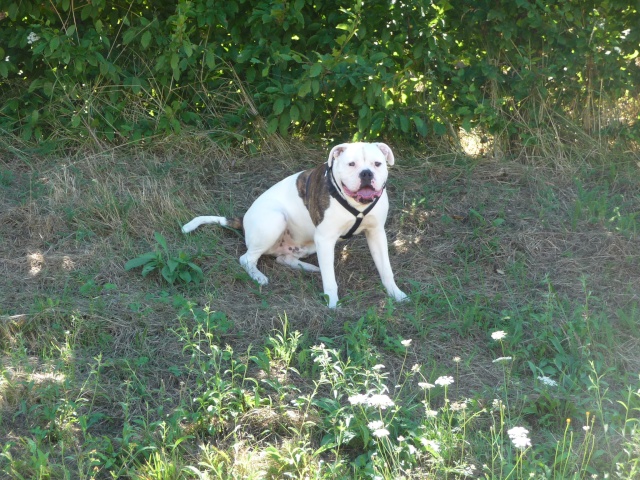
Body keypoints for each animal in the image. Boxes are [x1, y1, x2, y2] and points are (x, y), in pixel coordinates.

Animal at [182, 142, 408, 308]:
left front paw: (396, 294)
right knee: (246, 258)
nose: (366, 173)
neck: (356, 204)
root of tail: (244, 220)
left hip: (308, 243)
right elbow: (330, 279)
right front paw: (332, 304)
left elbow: (386, 269)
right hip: (276, 220)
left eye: (377, 164)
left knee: (284, 258)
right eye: (351, 164)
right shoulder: (325, 239)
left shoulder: (376, 233)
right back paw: (259, 276)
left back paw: (308, 267)